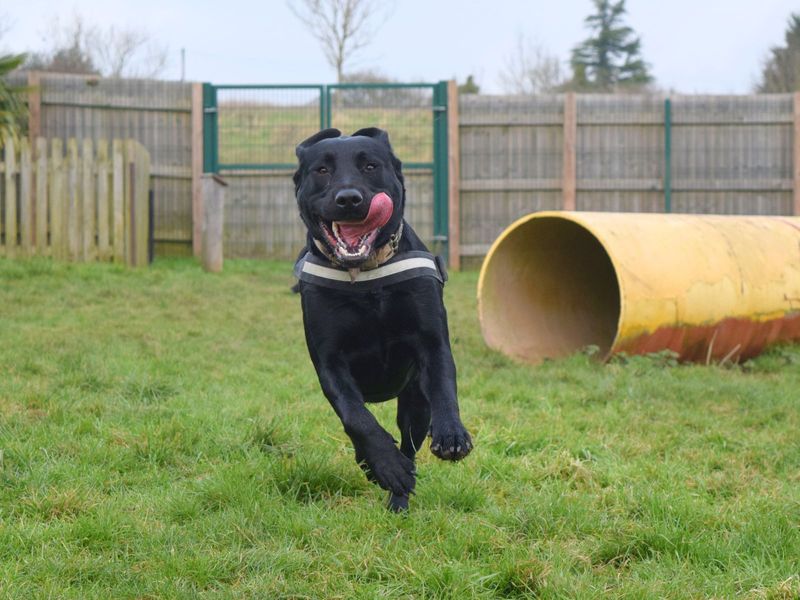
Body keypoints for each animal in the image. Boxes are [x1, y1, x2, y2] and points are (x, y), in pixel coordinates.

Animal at [292, 126, 468, 510]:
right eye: (322, 170)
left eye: (370, 166)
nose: (349, 198)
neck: (365, 275)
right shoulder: (329, 363)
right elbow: (357, 417)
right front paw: (385, 464)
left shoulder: (432, 343)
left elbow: (444, 386)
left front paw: (452, 434)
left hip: (414, 403)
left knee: (410, 441)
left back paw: (399, 497)